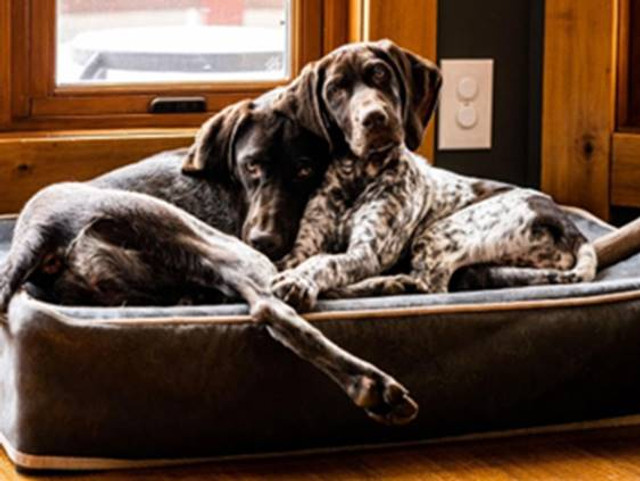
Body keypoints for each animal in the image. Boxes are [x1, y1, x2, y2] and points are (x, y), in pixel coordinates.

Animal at [268, 39, 596, 310]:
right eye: (335, 90)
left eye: (380, 74)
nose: (374, 118)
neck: (355, 180)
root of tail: (568, 224)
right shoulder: (305, 244)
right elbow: (289, 260)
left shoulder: (367, 252)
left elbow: (325, 262)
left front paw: (299, 281)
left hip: (438, 233)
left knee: (429, 285)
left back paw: (390, 283)